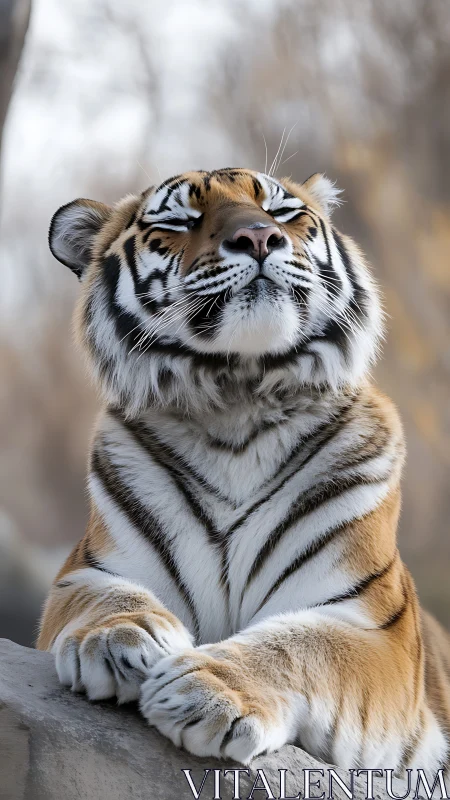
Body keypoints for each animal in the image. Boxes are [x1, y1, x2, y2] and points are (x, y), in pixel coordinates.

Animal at [38, 167, 450, 773]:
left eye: (282, 212)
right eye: (180, 220)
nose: (258, 237)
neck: (238, 403)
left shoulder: (374, 627)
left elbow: (303, 646)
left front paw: (208, 693)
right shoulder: (89, 570)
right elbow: (106, 597)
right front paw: (120, 641)